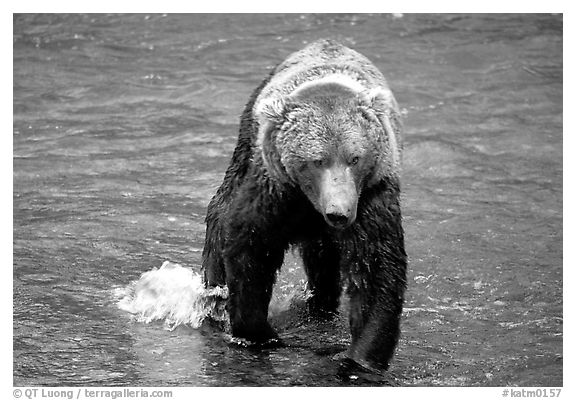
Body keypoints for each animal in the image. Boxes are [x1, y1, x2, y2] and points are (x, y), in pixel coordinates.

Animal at [201, 39, 404, 374]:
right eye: (317, 160)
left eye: (355, 157)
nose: (339, 213)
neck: (311, 202)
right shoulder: (276, 190)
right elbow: (250, 247)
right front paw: (259, 334)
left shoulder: (371, 196)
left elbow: (375, 268)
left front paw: (362, 357)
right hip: (245, 148)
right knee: (219, 217)